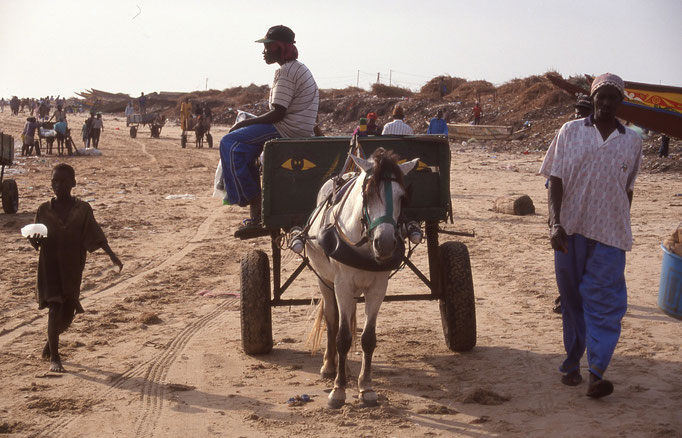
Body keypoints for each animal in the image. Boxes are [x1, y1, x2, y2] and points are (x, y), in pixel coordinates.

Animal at [304, 149, 420, 408]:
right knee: (333, 319)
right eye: (368, 194)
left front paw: (366, 388)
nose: (385, 243)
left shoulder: (378, 288)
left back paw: (345, 367)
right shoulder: (342, 285)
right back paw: (330, 366)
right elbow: (342, 336)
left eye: (402, 197)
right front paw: (338, 390)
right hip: (325, 281)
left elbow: (367, 338)